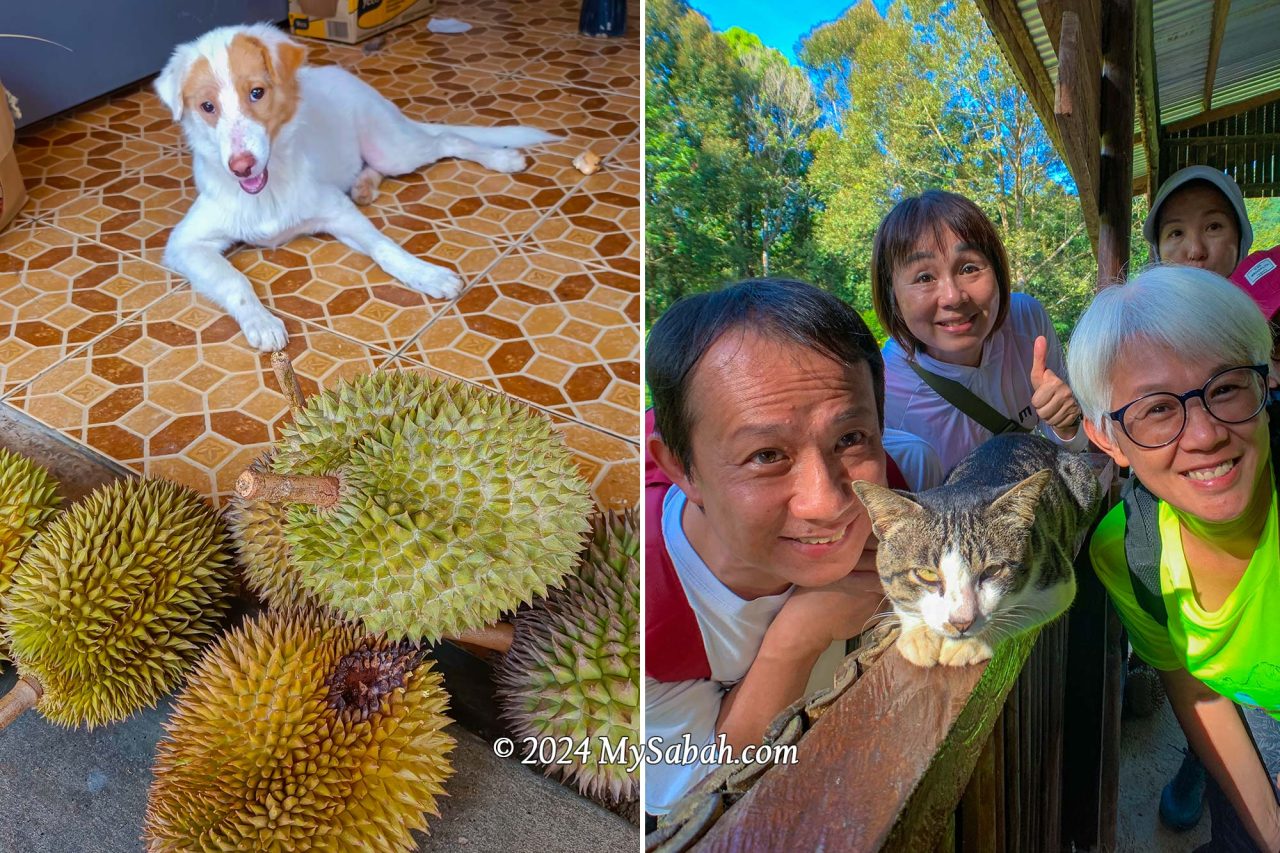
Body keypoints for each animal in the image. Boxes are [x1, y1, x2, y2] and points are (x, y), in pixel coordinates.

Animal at [152, 24, 552, 348]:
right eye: (207, 107)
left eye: (256, 93)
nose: (241, 167)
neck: (268, 192)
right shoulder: (186, 244)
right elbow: (235, 282)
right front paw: (261, 321)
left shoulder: (337, 211)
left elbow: (385, 248)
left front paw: (426, 274)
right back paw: (363, 184)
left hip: (394, 149)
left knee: (448, 140)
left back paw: (501, 159)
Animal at [849, 432, 1100, 666]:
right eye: (926, 574)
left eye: (992, 570)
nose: (961, 622)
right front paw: (918, 636)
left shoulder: (1058, 578)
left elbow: (1023, 611)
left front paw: (970, 644)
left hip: (1084, 483)